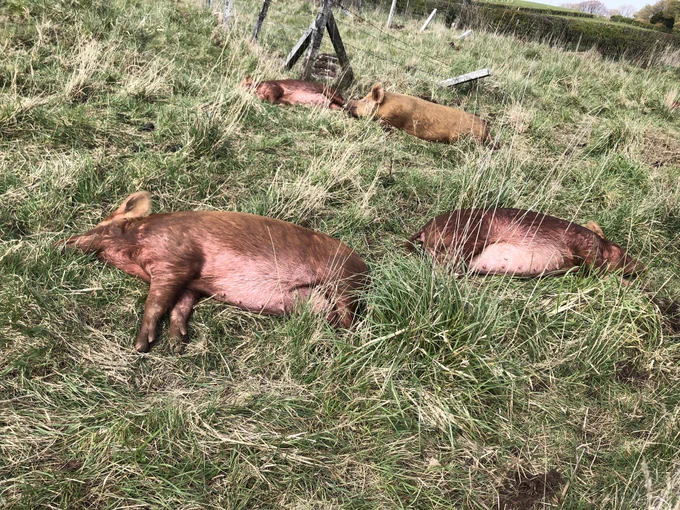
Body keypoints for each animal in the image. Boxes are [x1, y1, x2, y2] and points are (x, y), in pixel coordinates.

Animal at [63, 192, 368, 353]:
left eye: (101, 227)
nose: (64, 242)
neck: (139, 245)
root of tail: (366, 268)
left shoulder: (176, 259)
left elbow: (156, 303)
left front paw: (141, 346)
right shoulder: (190, 282)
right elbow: (180, 307)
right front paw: (177, 344)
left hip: (341, 279)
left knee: (349, 316)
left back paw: (348, 340)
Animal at [408, 208, 643, 277]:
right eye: (623, 250)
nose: (644, 267)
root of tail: (424, 229)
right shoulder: (582, 242)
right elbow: (597, 268)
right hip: (467, 234)